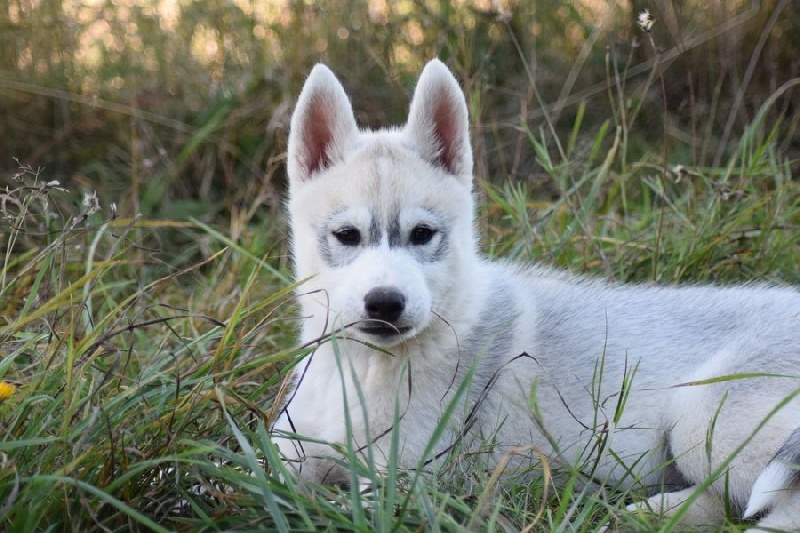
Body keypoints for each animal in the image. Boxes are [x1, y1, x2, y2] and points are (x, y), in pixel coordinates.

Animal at [272, 60, 796, 528]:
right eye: (347, 235)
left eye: (422, 234)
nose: (385, 303)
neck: (360, 368)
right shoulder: (284, 450)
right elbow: (262, 475)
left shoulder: (402, 480)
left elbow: (343, 506)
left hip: (701, 419)